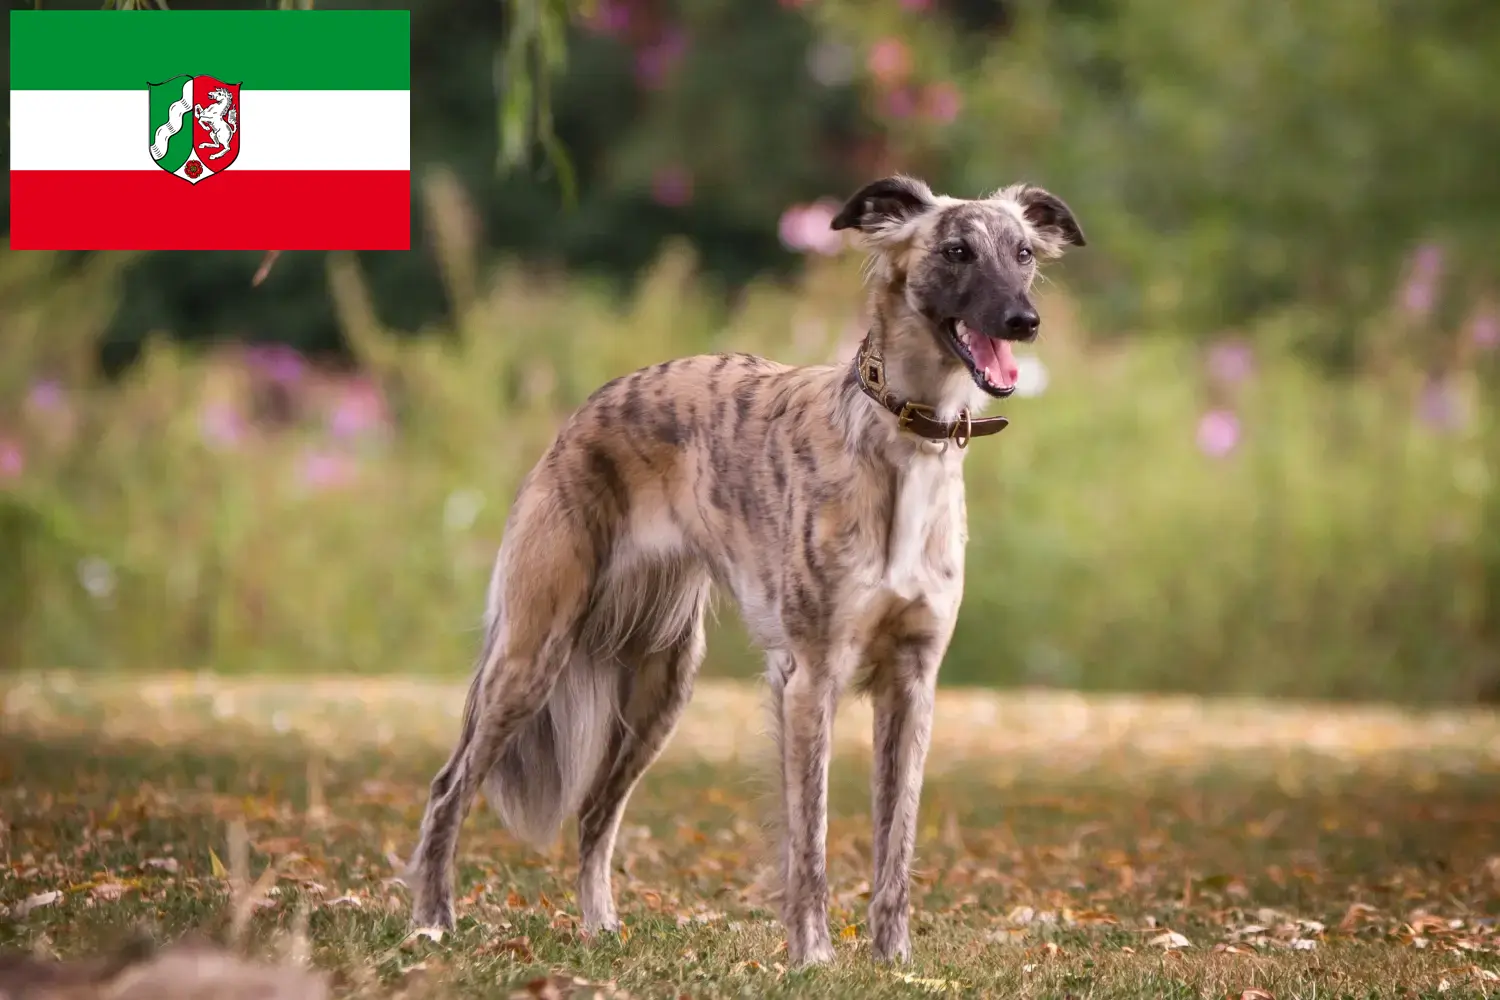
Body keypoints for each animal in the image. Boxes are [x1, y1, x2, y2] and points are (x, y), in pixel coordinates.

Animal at [411, 176, 1086, 965]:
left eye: (1023, 252)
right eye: (956, 251)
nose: (1024, 320)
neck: (901, 440)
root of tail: (582, 415)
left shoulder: (913, 682)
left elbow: (896, 843)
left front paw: (894, 962)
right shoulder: (811, 678)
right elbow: (810, 844)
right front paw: (814, 957)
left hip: (661, 685)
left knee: (596, 813)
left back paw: (600, 927)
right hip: (532, 651)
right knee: (450, 787)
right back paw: (431, 919)